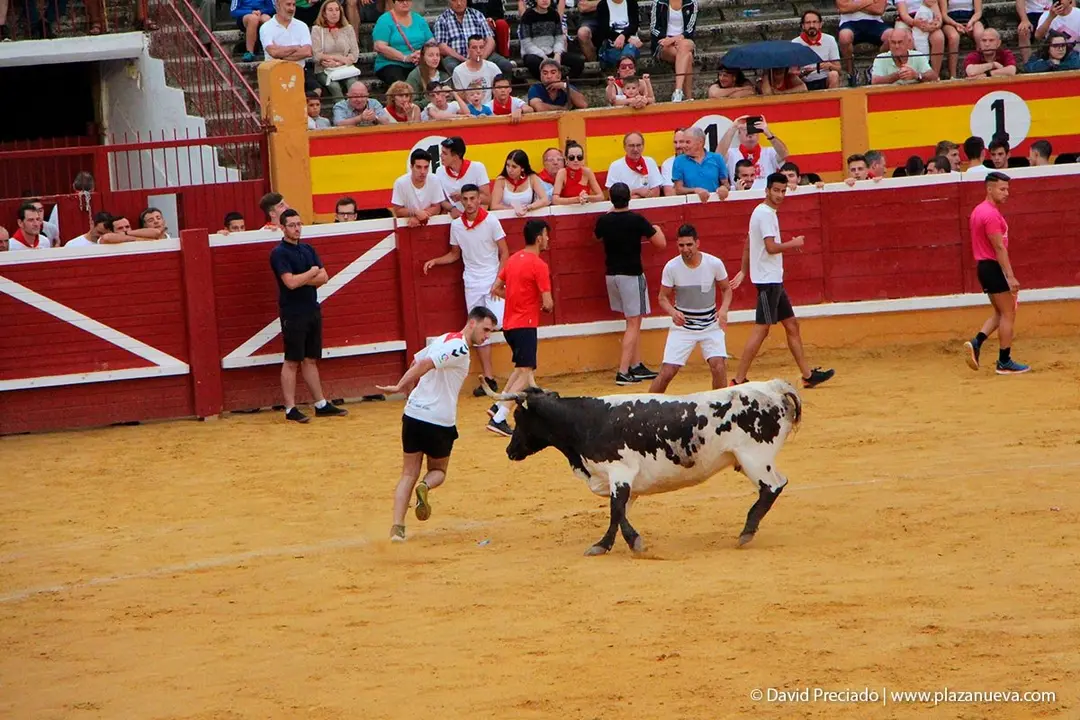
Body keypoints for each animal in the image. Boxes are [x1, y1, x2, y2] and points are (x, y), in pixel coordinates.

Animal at [484, 379, 802, 555]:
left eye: (520, 417)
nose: (510, 451)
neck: (586, 421)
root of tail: (774, 386)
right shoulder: (626, 482)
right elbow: (619, 512)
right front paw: (606, 544)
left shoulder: (620, 473)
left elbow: (615, 509)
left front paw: (629, 543)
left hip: (755, 459)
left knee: (773, 487)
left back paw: (746, 531)